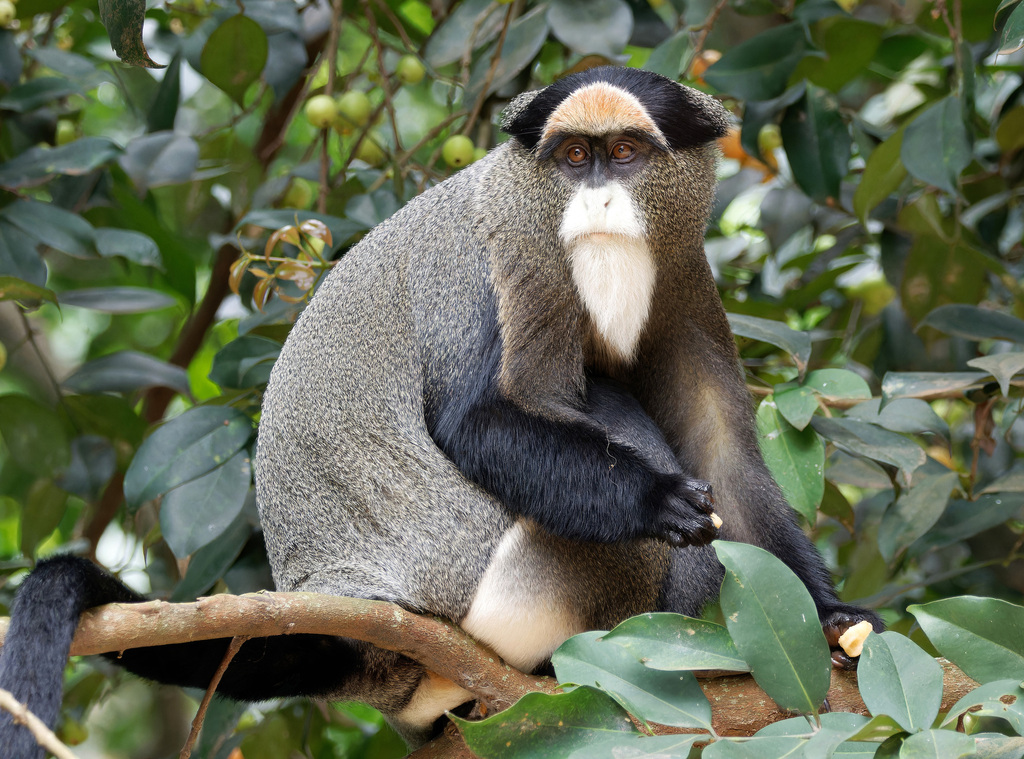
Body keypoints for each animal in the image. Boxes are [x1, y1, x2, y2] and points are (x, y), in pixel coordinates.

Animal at [0, 66, 882, 757]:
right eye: (574, 156)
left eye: (626, 154)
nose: (599, 199)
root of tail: (355, 620)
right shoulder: (507, 266)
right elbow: (478, 422)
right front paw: (658, 497)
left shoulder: (686, 277)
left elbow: (719, 442)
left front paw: (832, 617)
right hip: (495, 581)